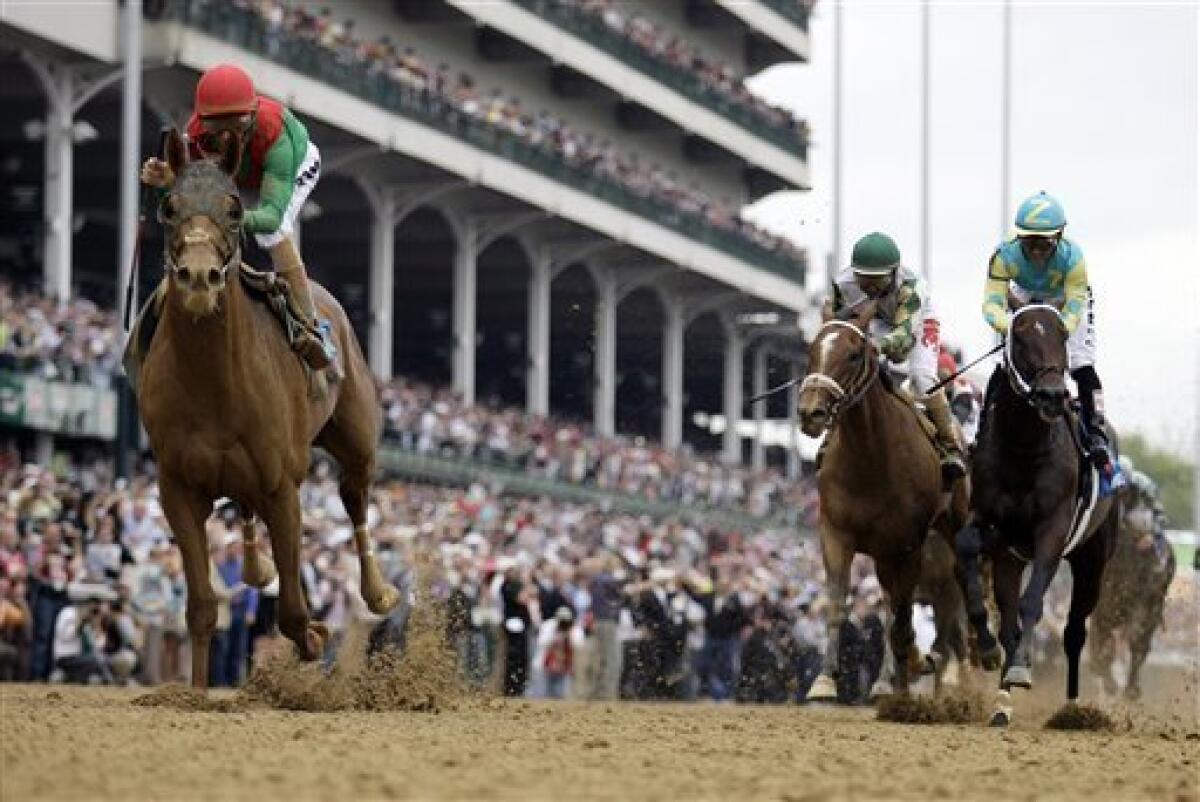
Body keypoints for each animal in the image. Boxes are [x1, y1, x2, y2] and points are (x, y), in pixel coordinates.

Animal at [136, 131, 398, 691]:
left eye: (235, 207)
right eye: (169, 207)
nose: (198, 277)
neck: (212, 382)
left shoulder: (283, 484)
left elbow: (294, 612)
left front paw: (316, 637)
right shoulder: (177, 487)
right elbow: (202, 606)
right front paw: (195, 693)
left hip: (356, 440)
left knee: (355, 498)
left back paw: (378, 590)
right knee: (247, 511)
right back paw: (257, 570)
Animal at [796, 303, 974, 696]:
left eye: (853, 354)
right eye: (811, 350)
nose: (810, 412)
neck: (870, 458)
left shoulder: (908, 545)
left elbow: (906, 620)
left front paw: (920, 665)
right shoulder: (836, 533)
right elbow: (839, 602)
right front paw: (824, 681)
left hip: (948, 531)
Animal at [950, 302, 1118, 725]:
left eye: (1063, 334)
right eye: (1021, 336)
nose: (1052, 395)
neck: (1024, 447)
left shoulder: (1052, 532)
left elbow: (1033, 604)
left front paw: (1021, 670)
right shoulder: (991, 525)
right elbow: (966, 553)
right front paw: (989, 650)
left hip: (1092, 561)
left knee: (1074, 630)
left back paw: (1072, 709)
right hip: (1011, 560)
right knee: (1011, 618)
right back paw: (1002, 703)